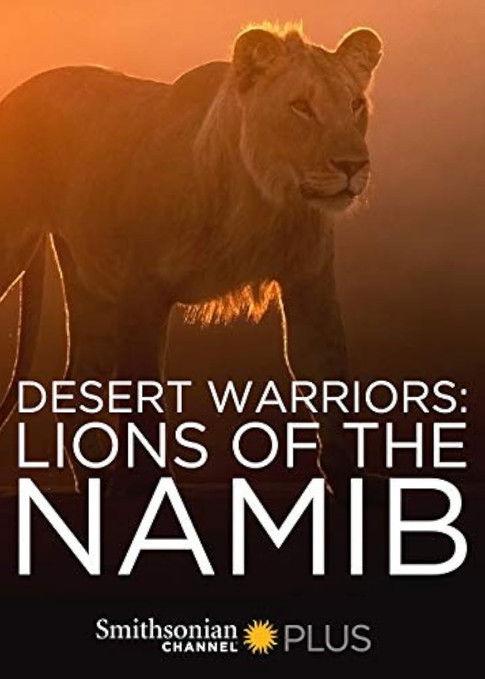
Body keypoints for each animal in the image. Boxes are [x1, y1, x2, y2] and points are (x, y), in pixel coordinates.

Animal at [0, 24, 382, 494]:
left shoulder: (309, 285)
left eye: (355, 105)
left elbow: (329, 378)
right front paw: (145, 485)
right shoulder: (141, 291)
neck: (261, 199)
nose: (353, 166)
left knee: (77, 384)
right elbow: (143, 394)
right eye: (301, 107)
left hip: (90, 280)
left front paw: (351, 481)